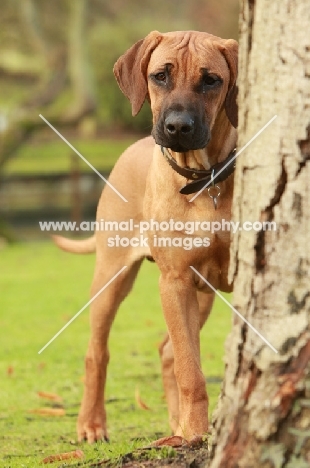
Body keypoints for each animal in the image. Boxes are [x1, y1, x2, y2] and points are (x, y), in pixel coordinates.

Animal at [54, 31, 237, 444]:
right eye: (160, 76)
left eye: (211, 80)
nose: (178, 127)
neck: (204, 181)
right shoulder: (175, 281)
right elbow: (191, 371)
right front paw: (196, 435)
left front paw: (191, 431)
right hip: (112, 275)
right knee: (97, 351)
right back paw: (92, 424)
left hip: (204, 292)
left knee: (167, 349)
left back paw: (176, 423)